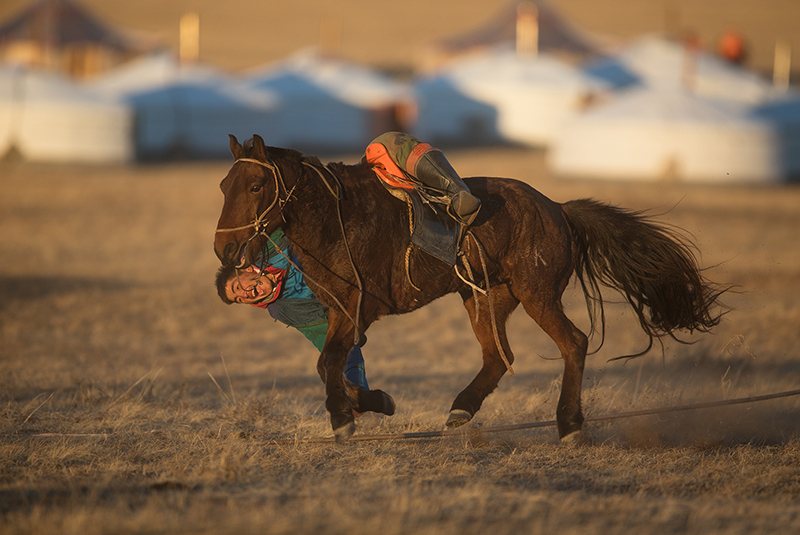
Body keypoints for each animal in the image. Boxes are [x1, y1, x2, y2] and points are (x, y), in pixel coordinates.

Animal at [214, 134, 726, 444]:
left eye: (256, 185)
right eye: (224, 185)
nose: (225, 247)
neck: (336, 217)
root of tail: (557, 209)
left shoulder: (357, 308)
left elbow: (331, 363)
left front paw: (343, 417)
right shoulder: (340, 313)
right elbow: (331, 364)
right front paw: (367, 404)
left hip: (536, 294)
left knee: (574, 343)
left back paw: (569, 425)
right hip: (484, 296)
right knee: (499, 356)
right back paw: (462, 410)